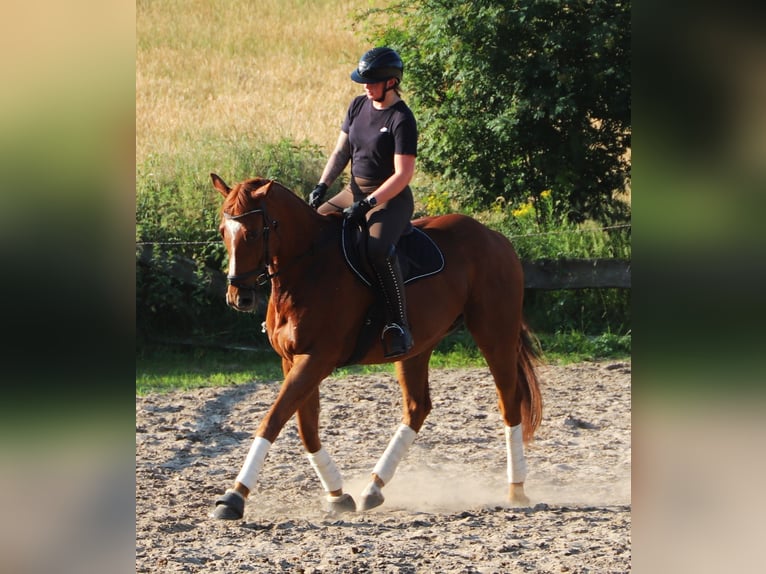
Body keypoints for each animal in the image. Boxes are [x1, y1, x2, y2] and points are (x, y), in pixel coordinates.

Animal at [209, 173, 543, 520]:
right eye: (222, 232)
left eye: (251, 233)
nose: (239, 297)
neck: (307, 268)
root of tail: (495, 238)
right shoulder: (292, 360)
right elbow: (306, 428)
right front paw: (337, 494)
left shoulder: (316, 359)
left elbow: (272, 420)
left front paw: (234, 496)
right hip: (417, 347)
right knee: (417, 408)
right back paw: (373, 487)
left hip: (494, 333)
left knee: (509, 402)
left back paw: (516, 489)